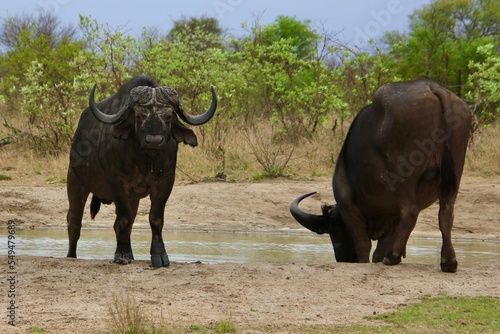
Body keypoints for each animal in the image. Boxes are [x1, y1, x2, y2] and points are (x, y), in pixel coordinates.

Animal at [66, 74, 217, 268]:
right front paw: (122, 254)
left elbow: (154, 219)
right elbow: (124, 218)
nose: (153, 141)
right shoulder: (117, 183)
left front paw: (159, 255)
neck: (143, 160)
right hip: (75, 180)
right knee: (74, 221)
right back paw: (71, 256)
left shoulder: (166, 182)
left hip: (133, 198)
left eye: (168, 116)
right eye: (139, 116)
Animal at [290, 77, 472, 272]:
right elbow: (381, 247)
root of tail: (432, 88)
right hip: (454, 173)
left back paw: (393, 257)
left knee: (411, 210)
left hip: (402, 175)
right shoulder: (392, 216)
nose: (343, 258)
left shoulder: (348, 204)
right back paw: (448, 262)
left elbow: (363, 244)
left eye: (333, 229)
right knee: (446, 212)